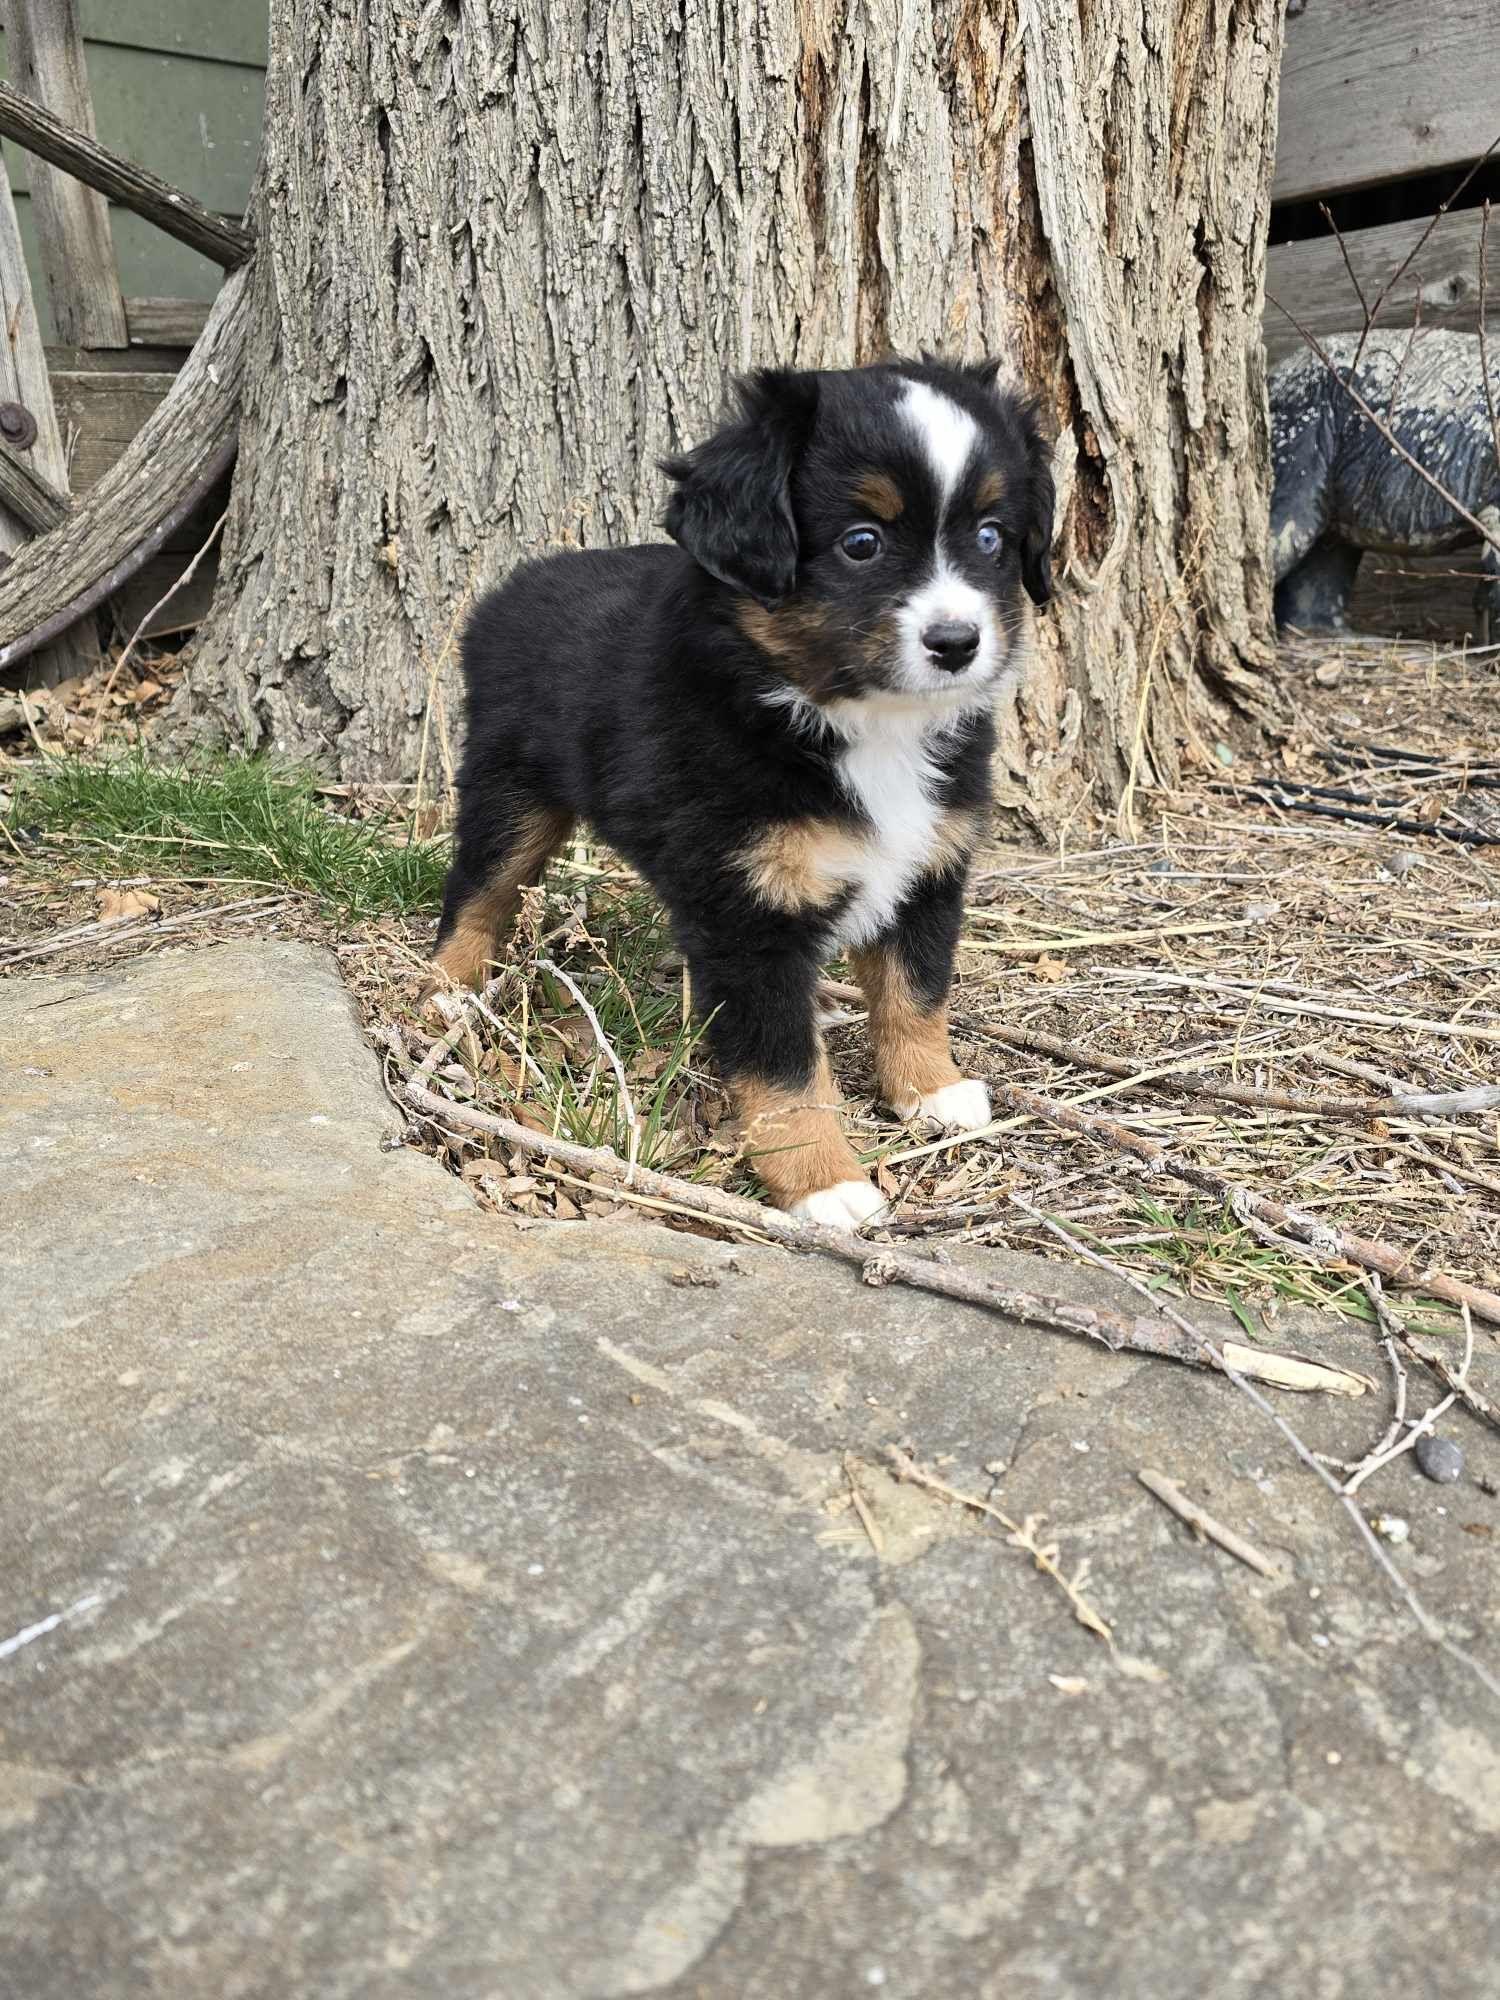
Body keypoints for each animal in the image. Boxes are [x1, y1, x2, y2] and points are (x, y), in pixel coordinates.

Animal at [428, 357, 1054, 1226]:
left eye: (993, 537)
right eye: (862, 544)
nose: (958, 642)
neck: (858, 724)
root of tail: (515, 583)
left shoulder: (930, 868)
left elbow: (917, 991)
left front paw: (930, 1091)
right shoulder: (749, 913)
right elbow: (783, 1068)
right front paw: (825, 1182)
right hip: (508, 783)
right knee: (480, 889)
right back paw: (447, 991)